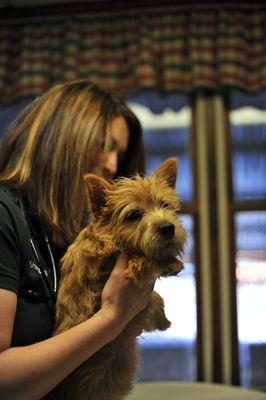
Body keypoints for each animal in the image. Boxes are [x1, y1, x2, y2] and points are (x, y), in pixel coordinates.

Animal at [45, 158, 186, 398]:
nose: (168, 228)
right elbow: (142, 263)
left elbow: (157, 297)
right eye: (133, 215)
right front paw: (168, 264)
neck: (108, 237)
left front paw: (163, 320)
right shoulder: (109, 263)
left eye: (165, 205)